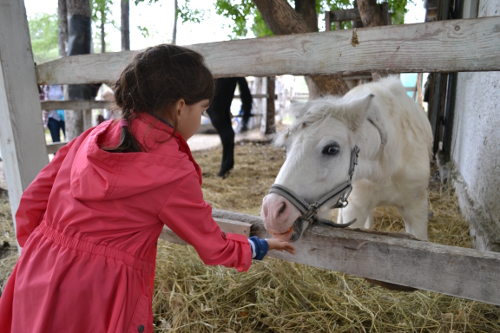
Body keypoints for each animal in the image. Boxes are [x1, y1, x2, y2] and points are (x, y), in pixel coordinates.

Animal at [262, 76, 434, 240]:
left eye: (332, 149)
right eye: (286, 146)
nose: (272, 211)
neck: (386, 167)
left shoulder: (417, 210)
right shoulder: (355, 208)